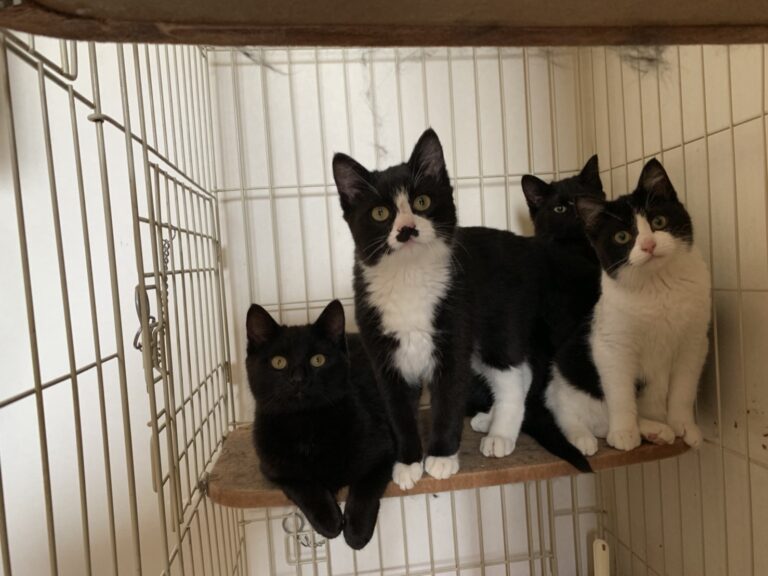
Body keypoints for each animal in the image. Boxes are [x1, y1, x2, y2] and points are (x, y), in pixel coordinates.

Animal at [245, 300, 394, 549]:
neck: (306, 424)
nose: (298, 379)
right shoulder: (273, 468)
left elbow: (365, 489)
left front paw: (356, 532)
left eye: (318, 360)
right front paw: (329, 521)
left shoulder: (383, 450)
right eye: (279, 362)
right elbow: (305, 485)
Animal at [333, 129, 592, 487]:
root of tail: (527, 247)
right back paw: (490, 421)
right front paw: (408, 462)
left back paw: (501, 434)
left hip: (498, 318)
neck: (410, 278)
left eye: (422, 202)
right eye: (380, 214)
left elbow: (449, 399)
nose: (407, 229)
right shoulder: (383, 352)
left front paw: (441, 457)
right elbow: (397, 410)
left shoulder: (455, 330)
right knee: (521, 372)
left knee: (512, 373)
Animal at [545, 159, 710, 453]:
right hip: (572, 371)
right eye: (622, 237)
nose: (648, 244)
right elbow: (621, 393)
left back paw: (658, 429)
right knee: (577, 416)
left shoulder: (694, 342)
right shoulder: (612, 344)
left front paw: (685, 426)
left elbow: (684, 388)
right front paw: (624, 432)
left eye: (658, 221)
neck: (658, 288)